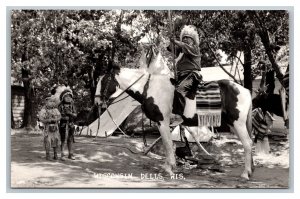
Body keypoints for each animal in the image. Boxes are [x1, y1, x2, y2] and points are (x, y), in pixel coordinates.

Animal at [95, 65, 254, 179]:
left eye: (103, 81)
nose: (97, 102)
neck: (150, 88)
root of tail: (245, 90)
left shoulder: (162, 121)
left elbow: (167, 144)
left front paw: (169, 169)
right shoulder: (165, 124)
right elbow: (170, 144)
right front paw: (170, 166)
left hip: (238, 124)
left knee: (247, 144)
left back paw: (245, 173)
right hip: (234, 125)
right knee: (248, 143)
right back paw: (249, 170)